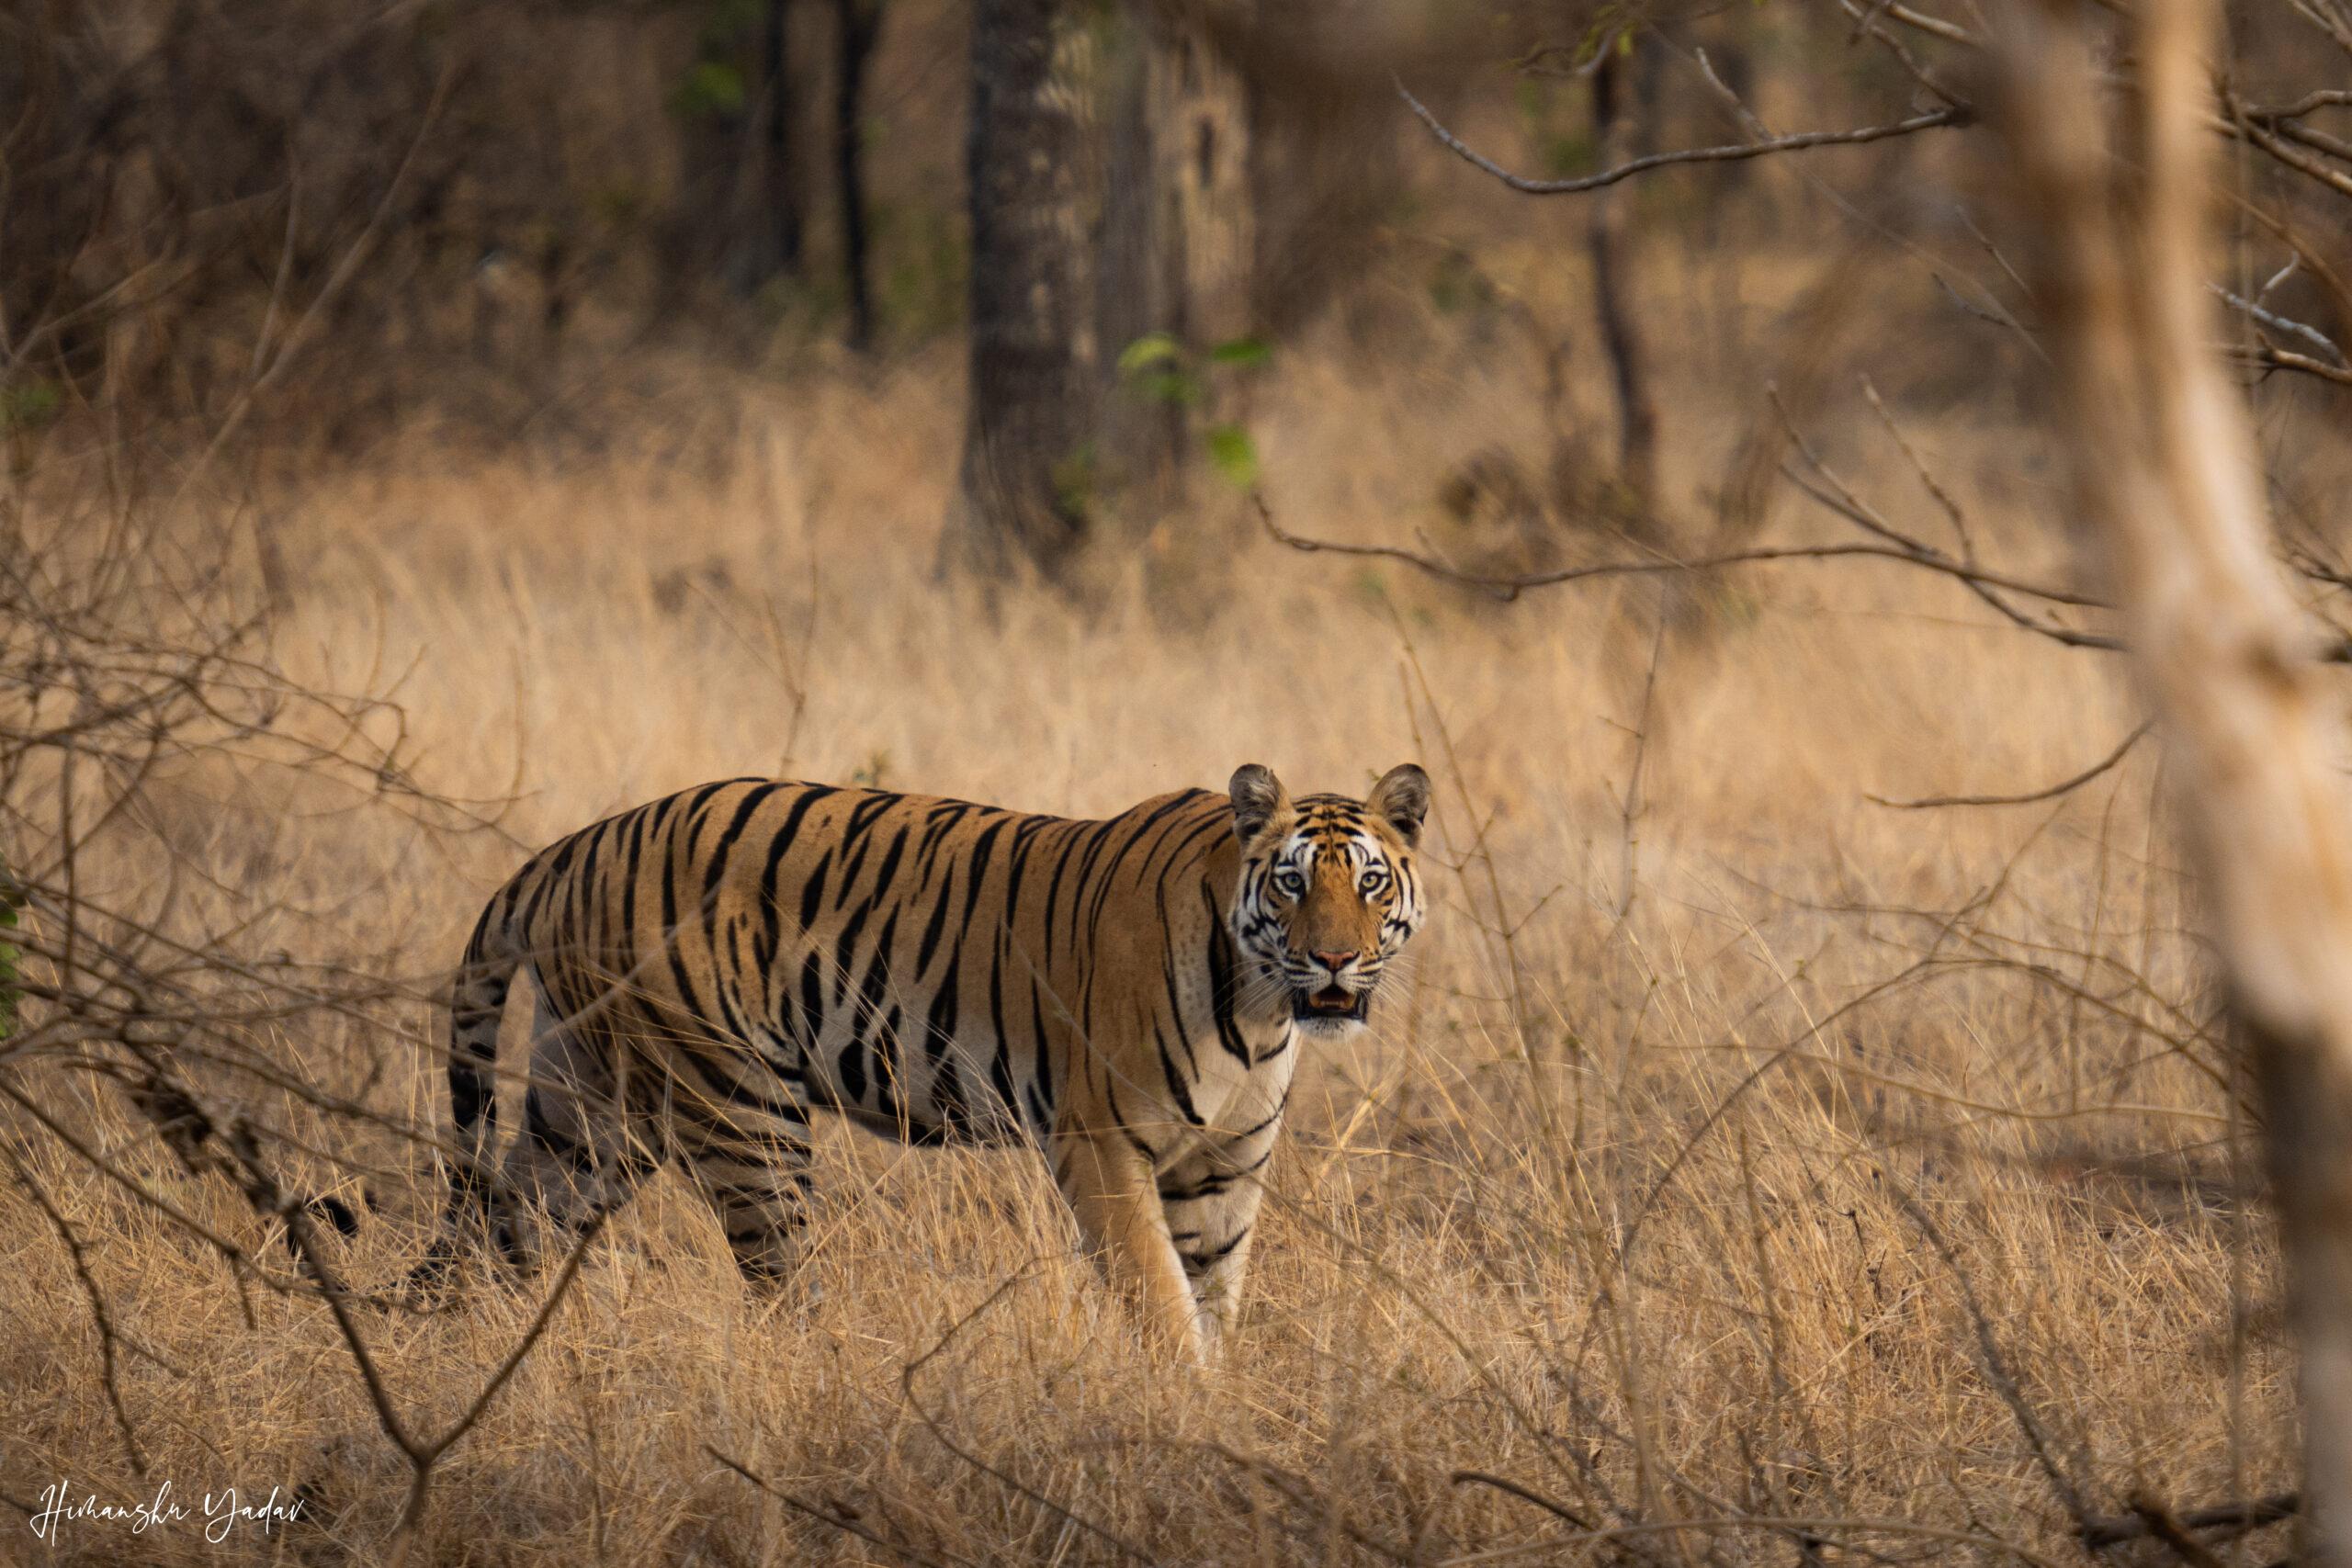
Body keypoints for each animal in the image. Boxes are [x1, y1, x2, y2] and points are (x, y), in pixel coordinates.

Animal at [426, 761, 1430, 1363]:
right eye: (1292, 883)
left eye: (1370, 882)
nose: (1334, 960)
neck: (1259, 1007)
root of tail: (574, 846)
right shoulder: (1103, 1142)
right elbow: (1162, 1300)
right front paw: (1187, 1417)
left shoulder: (1224, 1163)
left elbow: (1213, 1297)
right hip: (739, 1110)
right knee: (780, 1286)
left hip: (595, 1109)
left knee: (503, 1218)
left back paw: (477, 1351)